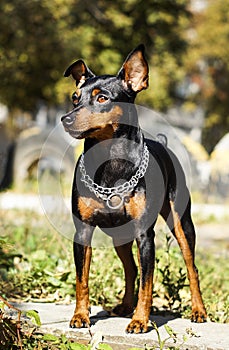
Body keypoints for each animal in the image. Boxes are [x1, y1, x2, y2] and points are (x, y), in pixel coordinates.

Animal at [61, 45, 208, 332]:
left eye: (103, 98)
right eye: (75, 98)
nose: (66, 119)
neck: (110, 164)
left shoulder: (144, 234)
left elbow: (148, 284)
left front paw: (140, 321)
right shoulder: (82, 231)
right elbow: (82, 280)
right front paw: (81, 315)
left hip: (182, 224)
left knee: (191, 266)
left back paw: (198, 310)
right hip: (119, 234)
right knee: (130, 268)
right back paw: (125, 305)